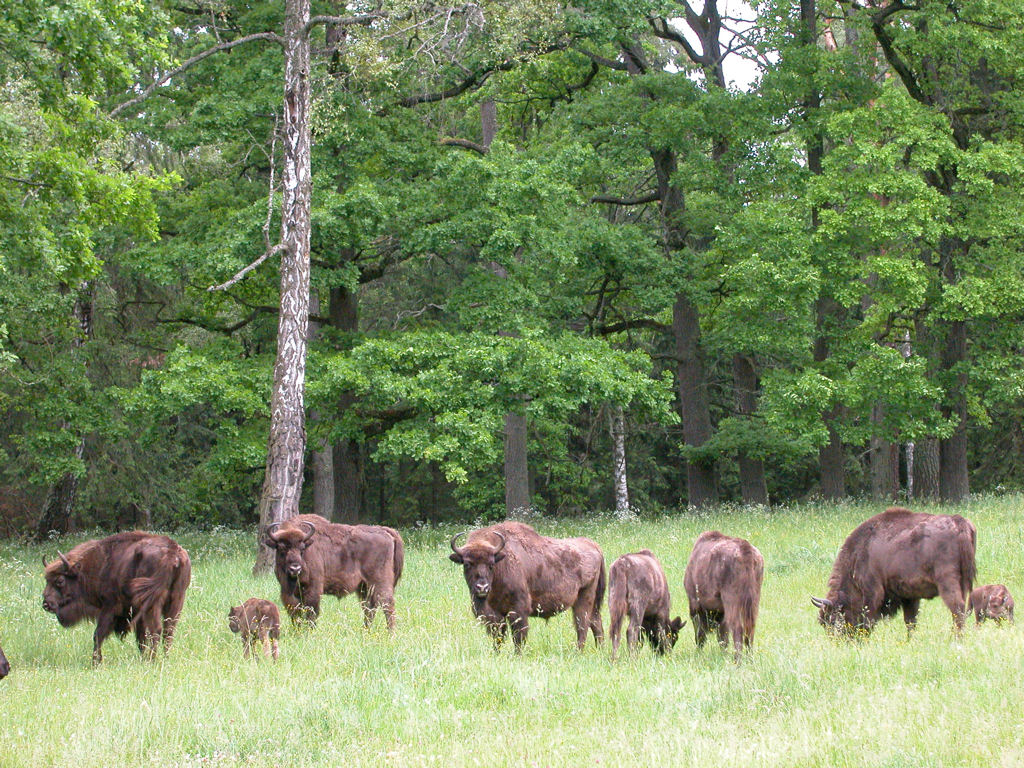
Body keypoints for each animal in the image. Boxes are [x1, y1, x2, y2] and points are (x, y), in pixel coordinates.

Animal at [41, 532, 192, 663]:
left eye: (60, 580)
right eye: (46, 580)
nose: (46, 604)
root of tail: (172, 553)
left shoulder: (110, 608)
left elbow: (98, 634)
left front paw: (95, 662)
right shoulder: (136, 613)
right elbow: (141, 638)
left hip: (153, 604)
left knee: (157, 630)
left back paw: (152, 660)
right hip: (176, 601)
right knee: (168, 631)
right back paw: (164, 659)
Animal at [264, 518, 403, 630]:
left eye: (302, 549)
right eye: (282, 548)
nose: (295, 568)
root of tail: (384, 531)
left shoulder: (313, 590)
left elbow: (311, 613)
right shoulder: (288, 593)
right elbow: (295, 613)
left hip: (379, 582)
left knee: (387, 604)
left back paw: (390, 632)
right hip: (364, 586)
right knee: (370, 607)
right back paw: (365, 630)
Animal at [450, 520, 606, 651]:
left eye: (491, 564)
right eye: (467, 564)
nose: (482, 587)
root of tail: (593, 545)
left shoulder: (518, 610)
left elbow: (518, 636)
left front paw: (518, 654)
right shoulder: (496, 615)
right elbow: (498, 637)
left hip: (584, 598)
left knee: (582, 625)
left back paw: (578, 652)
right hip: (592, 603)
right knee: (596, 623)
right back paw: (599, 650)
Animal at [684, 532, 765, 663]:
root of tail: (745, 549)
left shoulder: (695, 604)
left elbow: (702, 634)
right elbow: (723, 637)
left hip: (731, 599)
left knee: (738, 628)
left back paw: (737, 661)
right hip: (754, 599)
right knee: (750, 628)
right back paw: (750, 659)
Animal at [806, 507, 974, 638]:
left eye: (833, 620)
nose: (840, 642)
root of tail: (958, 521)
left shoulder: (872, 591)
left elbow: (869, 618)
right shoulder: (910, 597)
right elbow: (910, 621)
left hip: (947, 582)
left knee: (957, 608)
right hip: (964, 583)